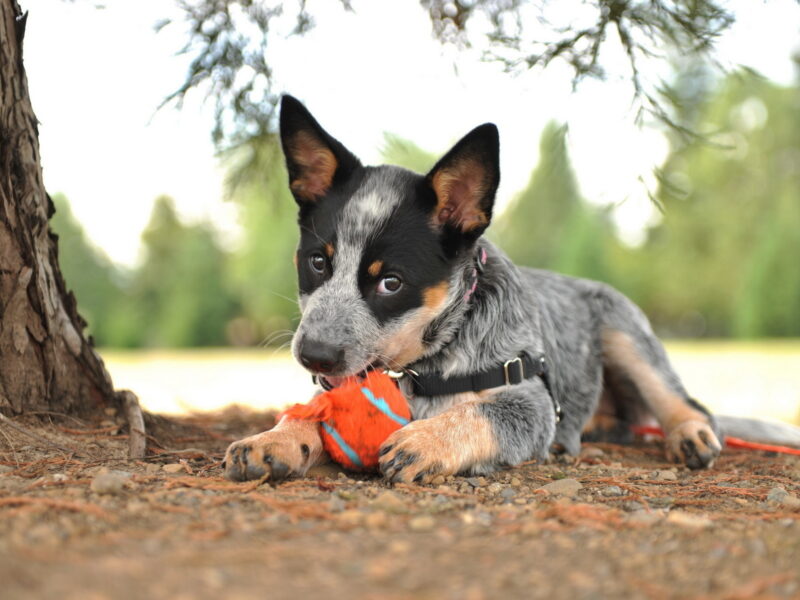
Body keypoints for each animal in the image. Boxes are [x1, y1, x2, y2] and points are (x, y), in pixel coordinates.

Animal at [223, 96, 800, 486]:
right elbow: (310, 411)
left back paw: (689, 434)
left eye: (391, 282)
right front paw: (273, 438)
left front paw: (427, 440)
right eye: (318, 262)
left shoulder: (533, 403)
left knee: (687, 401)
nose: (313, 354)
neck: (426, 366)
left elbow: (484, 413)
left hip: (625, 333)